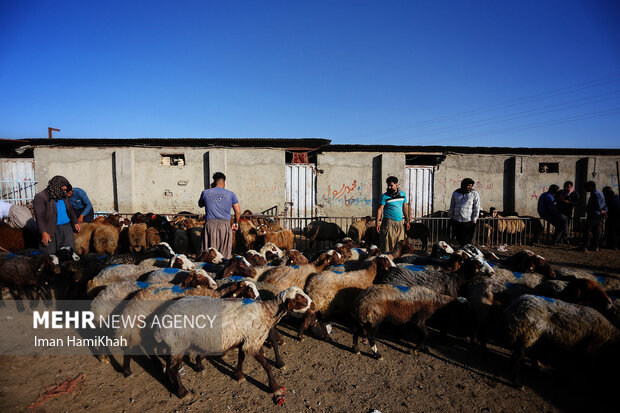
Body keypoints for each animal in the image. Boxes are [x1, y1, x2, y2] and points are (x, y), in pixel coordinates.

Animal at [153, 286, 312, 402]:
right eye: (299, 297)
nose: (313, 305)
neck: (266, 312)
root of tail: (161, 321)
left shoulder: (244, 338)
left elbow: (241, 358)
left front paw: (238, 375)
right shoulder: (253, 342)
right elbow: (267, 365)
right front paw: (275, 387)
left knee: (169, 365)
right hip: (178, 343)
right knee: (173, 369)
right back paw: (182, 392)